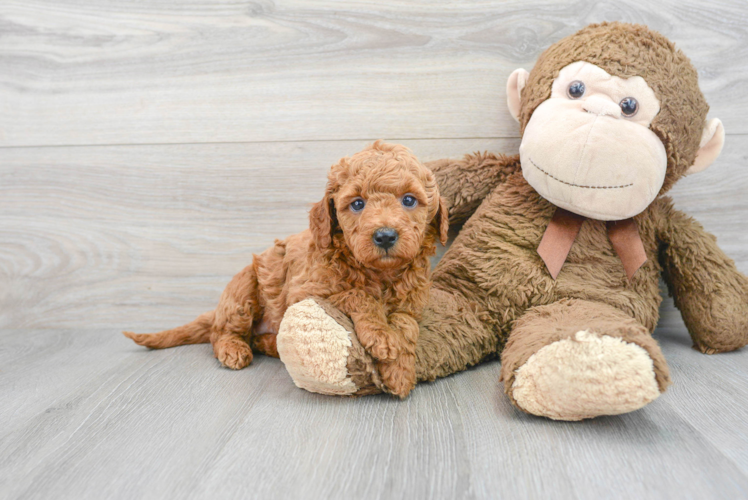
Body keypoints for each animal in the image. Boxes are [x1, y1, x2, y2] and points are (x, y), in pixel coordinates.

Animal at [125, 142, 448, 398]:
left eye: (409, 200)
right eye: (357, 204)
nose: (384, 236)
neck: (378, 273)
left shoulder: (412, 302)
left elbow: (407, 323)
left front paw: (401, 370)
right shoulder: (307, 290)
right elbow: (358, 295)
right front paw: (382, 336)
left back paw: (267, 343)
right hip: (243, 291)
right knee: (222, 333)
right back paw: (234, 349)